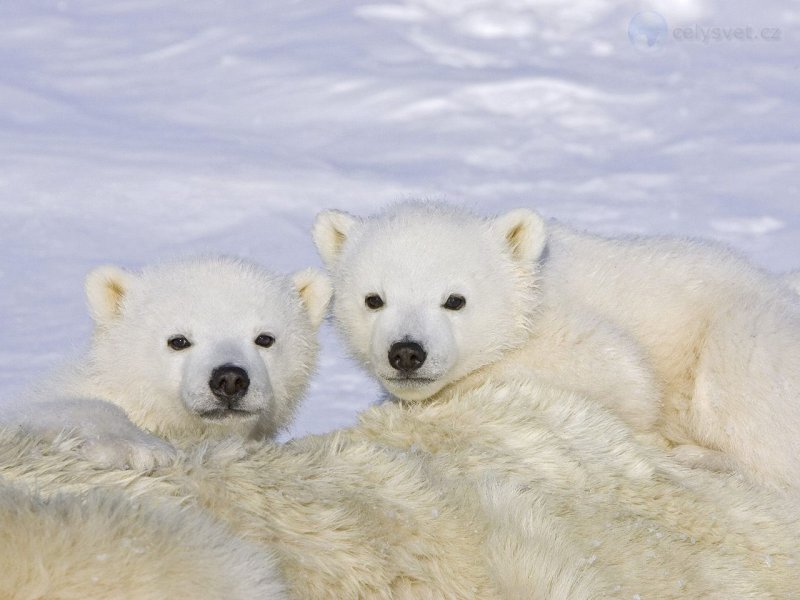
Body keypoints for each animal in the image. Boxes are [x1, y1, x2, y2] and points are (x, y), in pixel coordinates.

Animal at [316, 202, 800, 492]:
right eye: (373, 299)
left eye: (455, 299)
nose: (406, 352)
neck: (531, 289)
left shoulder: (571, 331)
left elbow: (622, 377)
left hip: (743, 332)